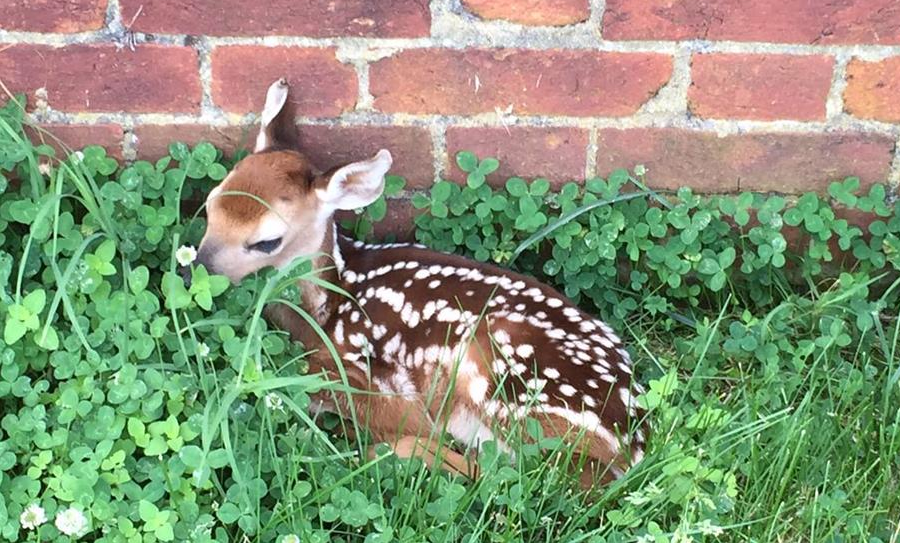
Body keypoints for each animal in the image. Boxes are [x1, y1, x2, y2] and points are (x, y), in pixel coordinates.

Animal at [193, 78, 648, 490]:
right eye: (211, 205)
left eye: (266, 241)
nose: (192, 269)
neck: (328, 303)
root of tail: (632, 445)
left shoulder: (364, 373)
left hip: (503, 381)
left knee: (521, 477)